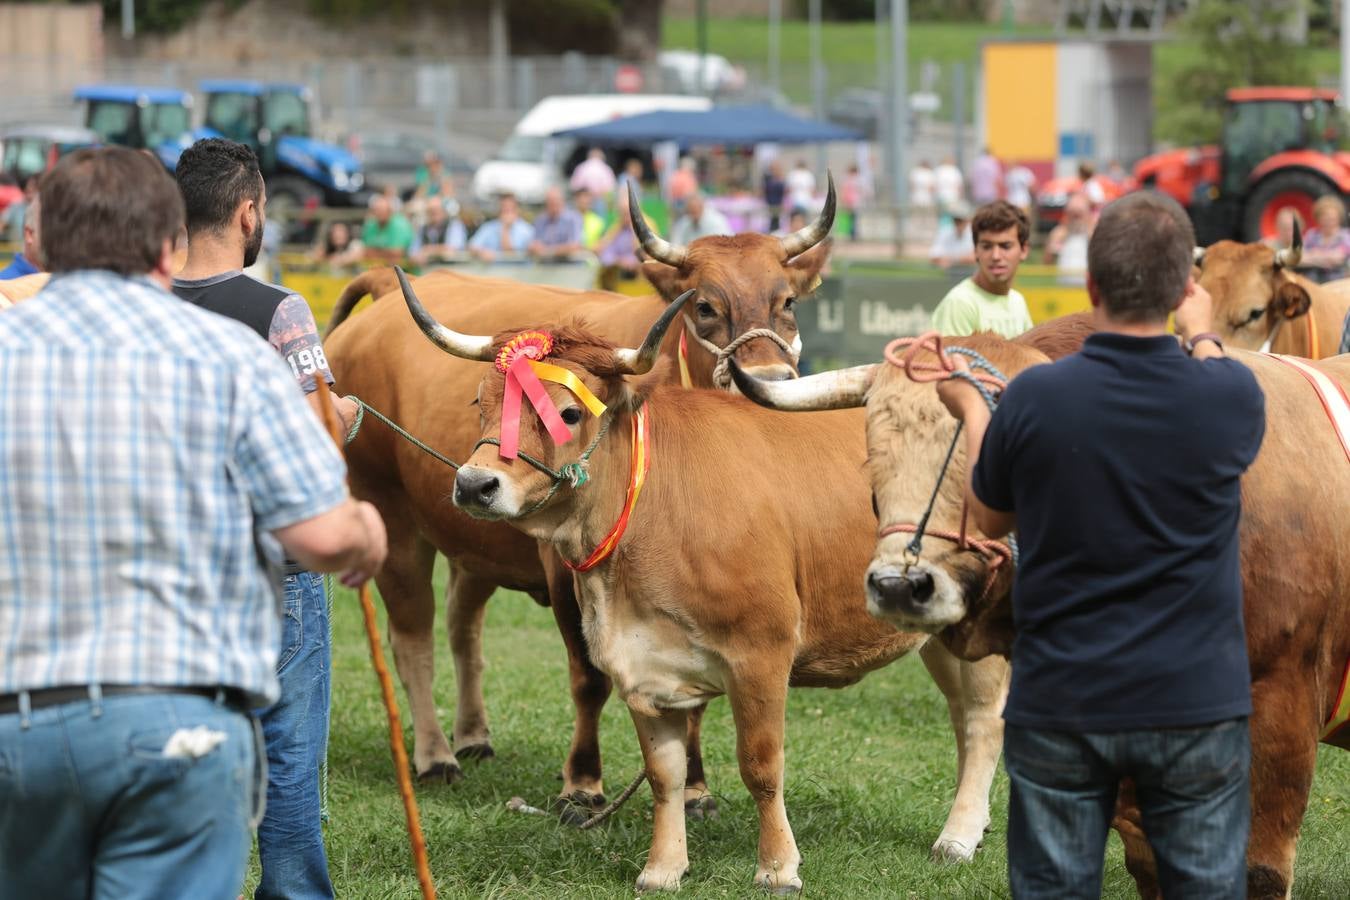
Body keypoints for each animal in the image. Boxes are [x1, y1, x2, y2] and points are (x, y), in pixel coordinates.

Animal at [322, 190, 837, 809]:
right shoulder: (563, 563)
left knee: (462, 627)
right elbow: (589, 677)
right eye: (706, 306)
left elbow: (693, 694)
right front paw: (583, 782)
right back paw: (435, 754)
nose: (768, 378)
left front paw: (694, 786)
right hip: (390, 516)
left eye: (787, 301)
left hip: (472, 544)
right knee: (413, 638)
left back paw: (472, 734)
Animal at [405, 283, 1015, 895]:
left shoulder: (761, 654)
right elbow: (665, 777)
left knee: (985, 719)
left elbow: (761, 766)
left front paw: (777, 867)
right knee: (963, 714)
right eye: (480, 404)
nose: (474, 484)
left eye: (569, 413)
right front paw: (663, 867)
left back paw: (957, 836)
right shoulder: (642, 670)